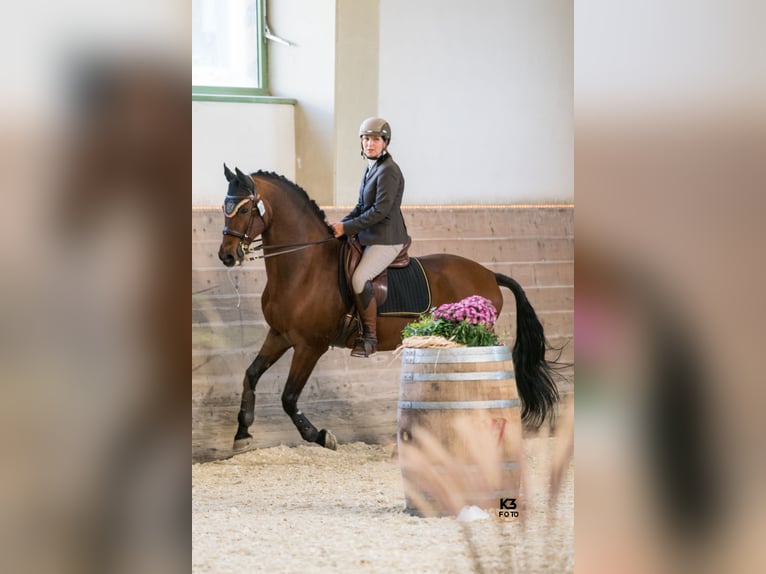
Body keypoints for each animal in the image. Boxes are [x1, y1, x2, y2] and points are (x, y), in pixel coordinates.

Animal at [216, 164, 560, 452]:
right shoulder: (280, 335)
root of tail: (488, 274)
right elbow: (251, 374)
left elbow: (288, 398)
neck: (305, 266)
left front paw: (321, 436)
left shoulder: (310, 345)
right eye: (225, 207)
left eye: (245, 208)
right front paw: (242, 434)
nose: (227, 255)